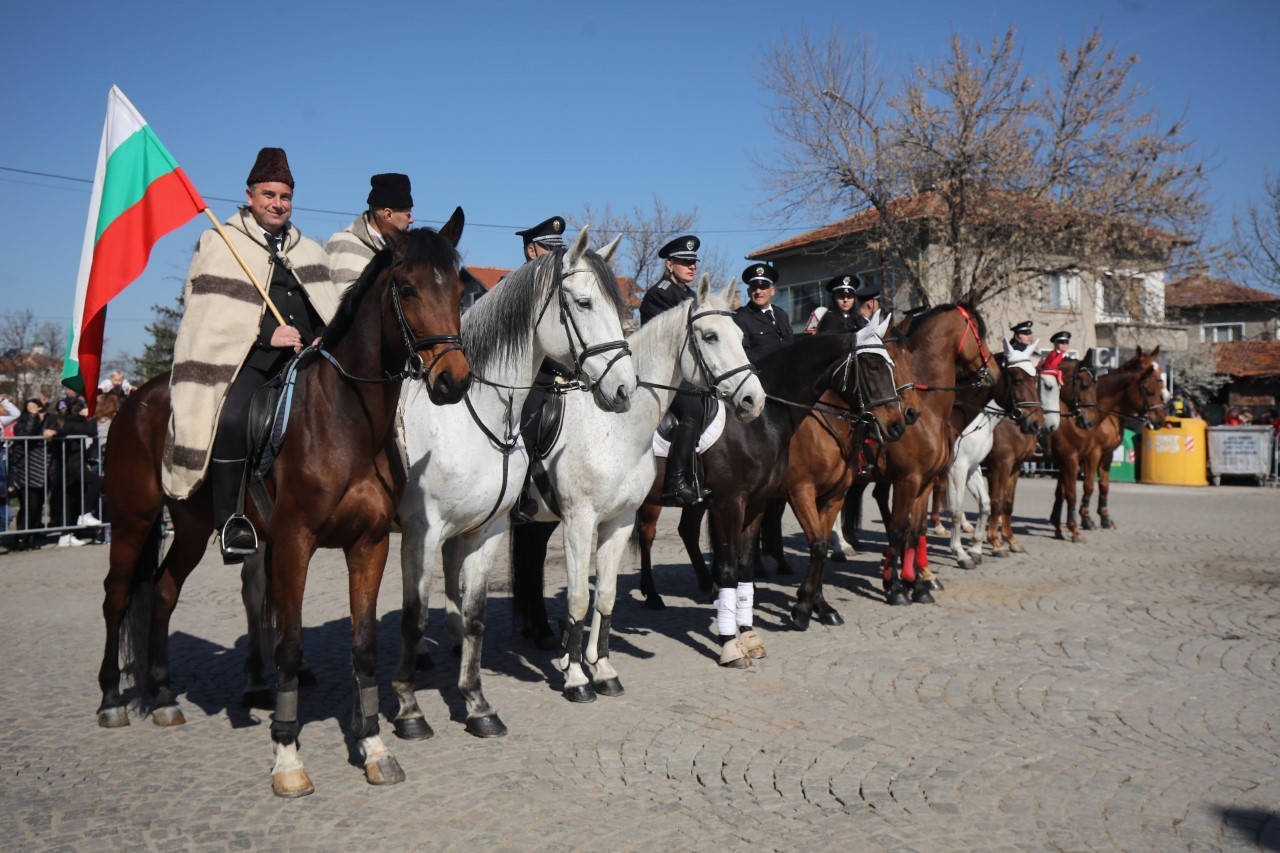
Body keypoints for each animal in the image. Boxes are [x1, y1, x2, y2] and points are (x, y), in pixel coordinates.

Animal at [94, 213, 473, 799]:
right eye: (408, 288)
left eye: (458, 289)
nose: (453, 380)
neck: (344, 418)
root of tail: (134, 400)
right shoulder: (295, 542)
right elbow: (289, 646)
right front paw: (288, 756)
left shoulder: (367, 546)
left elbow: (364, 646)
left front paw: (375, 747)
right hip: (132, 520)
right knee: (117, 597)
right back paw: (113, 700)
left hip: (192, 527)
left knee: (161, 592)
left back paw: (163, 697)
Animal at [384, 227, 634, 737]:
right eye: (583, 303)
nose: (623, 389)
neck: (468, 412)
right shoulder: (422, 531)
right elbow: (413, 614)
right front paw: (409, 708)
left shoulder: (489, 526)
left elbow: (475, 611)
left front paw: (476, 702)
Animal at [517, 272, 762, 696]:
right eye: (711, 336)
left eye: (741, 336)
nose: (753, 399)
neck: (614, 427)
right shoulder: (579, 521)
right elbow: (579, 598)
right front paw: (576, 676)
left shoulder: (620, 519)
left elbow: (606, 595)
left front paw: (600, 668)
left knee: (530, 559)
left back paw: (541, 631)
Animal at [947, 338, 1064, 563]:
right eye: (1048, 386)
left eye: (1034, 380)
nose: (1044, 424)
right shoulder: (998, 465)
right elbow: (996, 501)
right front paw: (995, 543)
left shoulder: (1012, 466)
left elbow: (1004, 503)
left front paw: (1007, 541)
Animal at [1049, 345, 1172, 537]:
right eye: (1149, 390)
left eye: (1159, 369)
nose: (1160, 419)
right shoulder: (1090, 454)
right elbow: (1088, 485)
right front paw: (1086, 518)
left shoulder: (1105, 455)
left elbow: (1103, 485)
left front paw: (1104, 517)